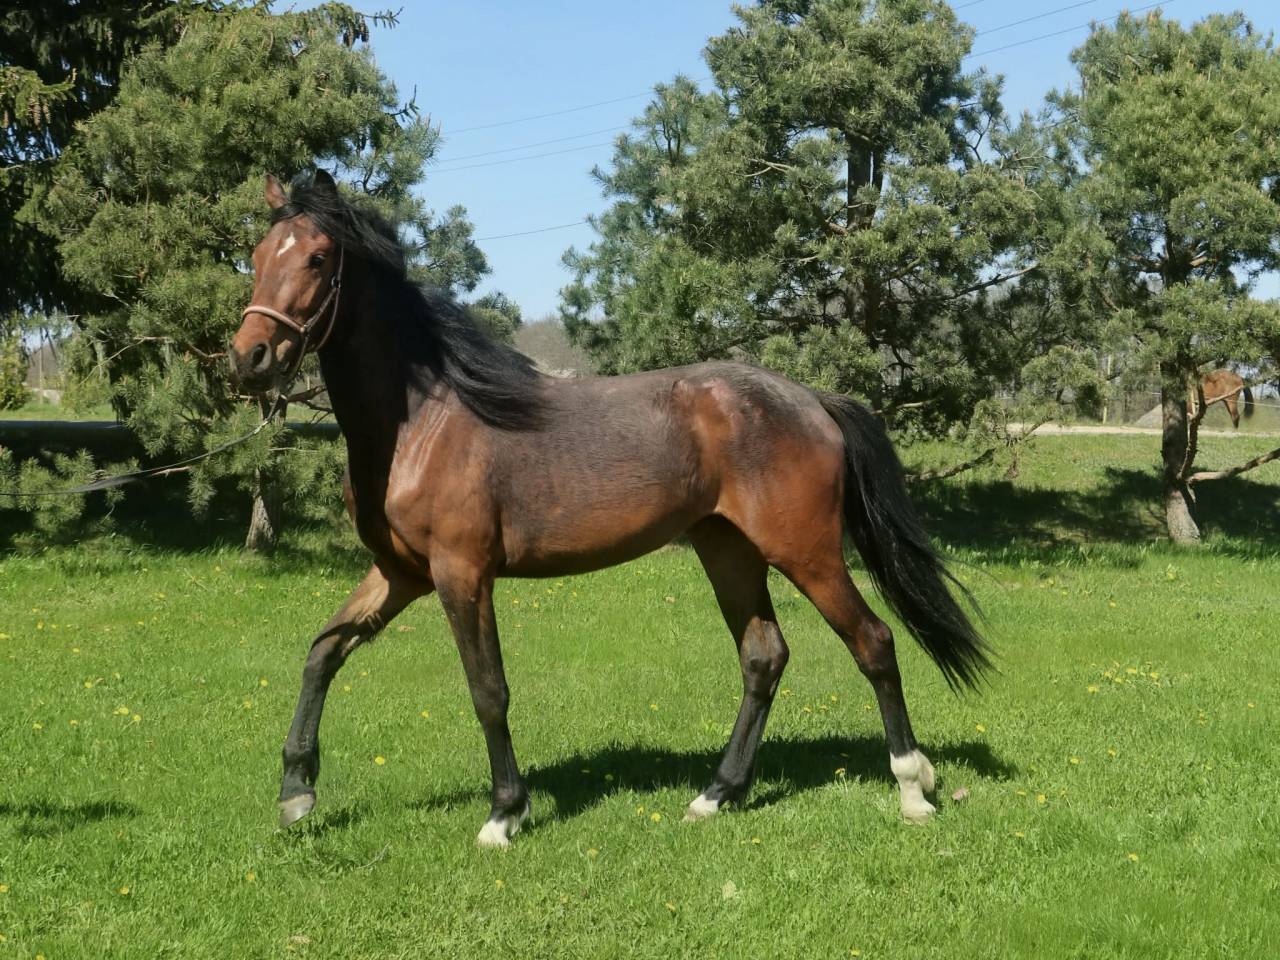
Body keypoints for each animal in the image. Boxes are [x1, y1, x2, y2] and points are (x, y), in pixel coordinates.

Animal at [229, 169, 989, 847]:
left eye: (318, 257)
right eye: (258, 257)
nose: (250, 357)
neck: (424, 422)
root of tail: (813, 400)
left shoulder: (461, 575)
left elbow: (488, 690)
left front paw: (504, 815)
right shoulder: (400, 574)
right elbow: (322, 653)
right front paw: (296, 793)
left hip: (807, 553)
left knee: (873, 642)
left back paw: (912, 789)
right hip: (728, 551)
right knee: (763, 658)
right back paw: (716, 795)